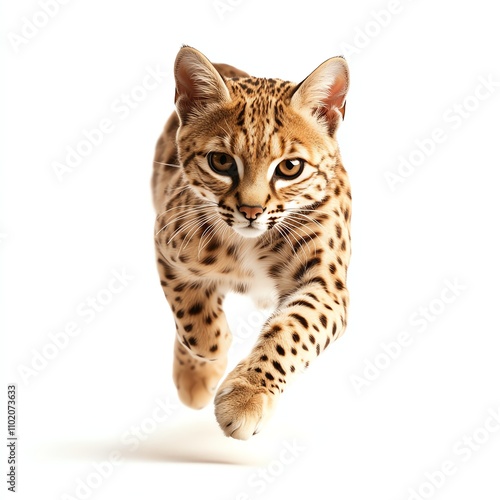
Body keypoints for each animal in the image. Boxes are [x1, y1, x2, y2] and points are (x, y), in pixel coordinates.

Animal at [152, 46, 352, 438]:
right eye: (220, 161)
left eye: (290, 167)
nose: (251, 210)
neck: (251, 242)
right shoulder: (166, 241)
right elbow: (193, 320)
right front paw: (209, 360)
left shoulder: (325, 284)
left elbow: (292, 329)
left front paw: (247, 395)